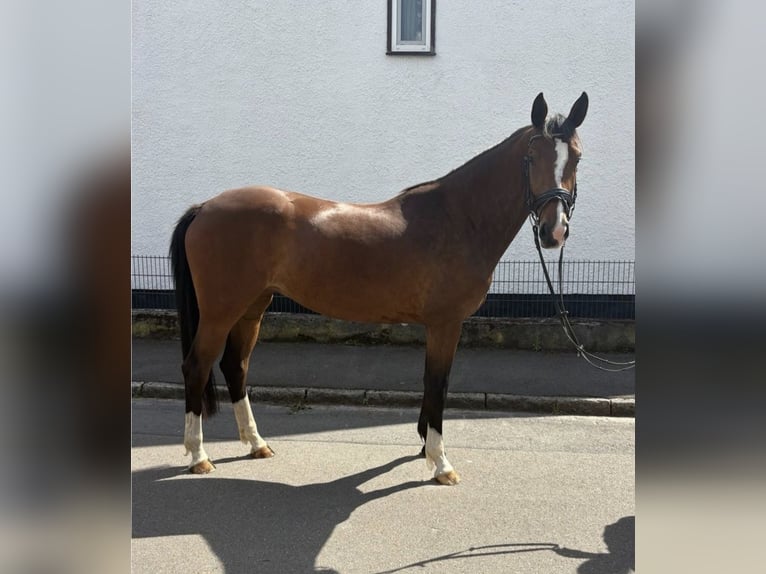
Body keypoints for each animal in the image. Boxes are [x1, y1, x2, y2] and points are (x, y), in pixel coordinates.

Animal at [169, 91, 589, 485]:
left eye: (577, 158)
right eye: (531, 156)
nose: (553, 232)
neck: (458, 218)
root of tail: (205, 207)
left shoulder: (438, 326)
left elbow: (431, 383)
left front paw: (424, 447)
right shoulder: (446, 323)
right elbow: (438, 384)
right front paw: (440, 462)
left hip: (252, 306)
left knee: (235, 365)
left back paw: (256, 444)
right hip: (220, 311)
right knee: (196, 366)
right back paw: (198, 456)